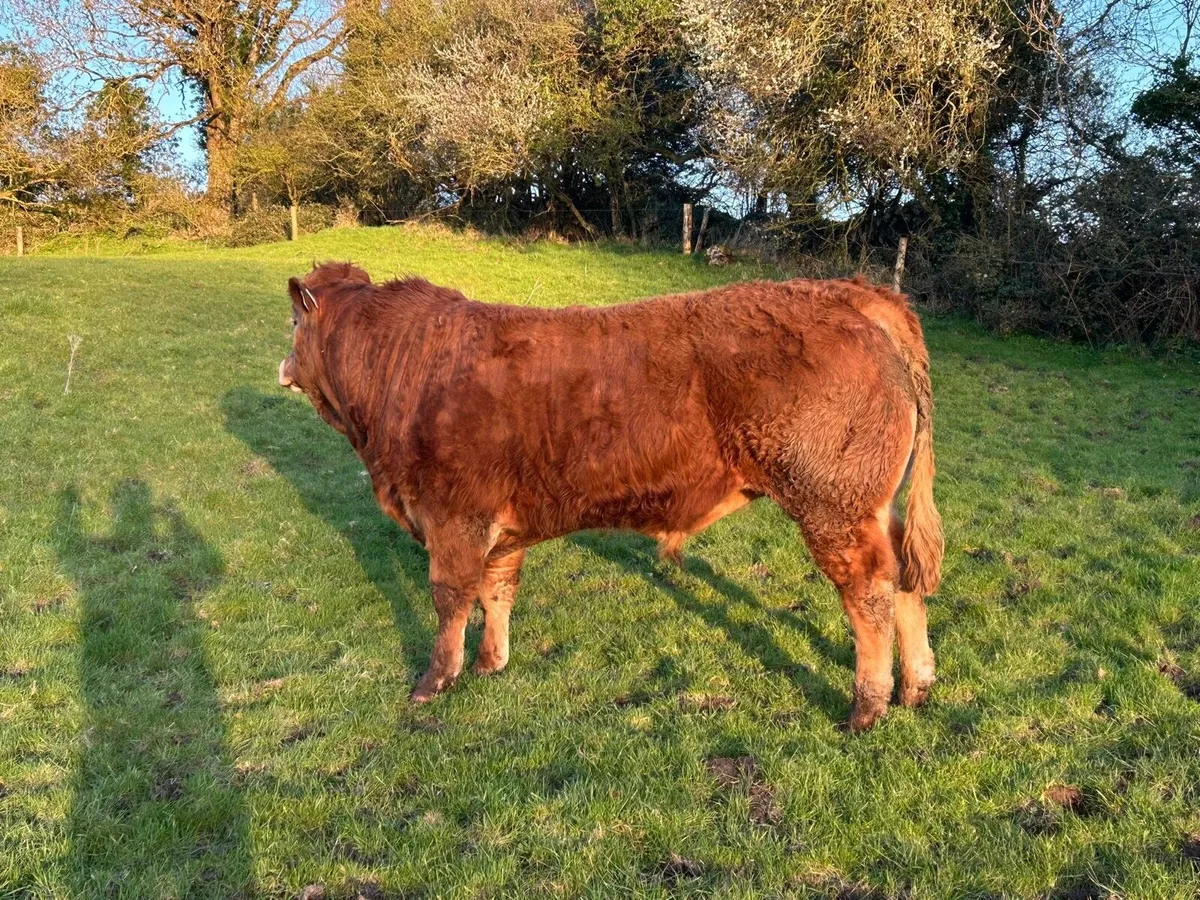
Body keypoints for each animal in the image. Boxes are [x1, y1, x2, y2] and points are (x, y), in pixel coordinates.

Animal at [277, 262, 943, 731]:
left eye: (293, 323)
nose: (282, 366)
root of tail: (850, 292)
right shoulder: (498, 526)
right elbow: (497, 591)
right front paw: (493, 663)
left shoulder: (452, 517)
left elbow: (450, 602)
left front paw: (433, 682)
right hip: (872, 506)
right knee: (906, 581)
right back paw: (916, 688)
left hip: (832, 503)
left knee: (871, 593)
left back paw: (867, 707)